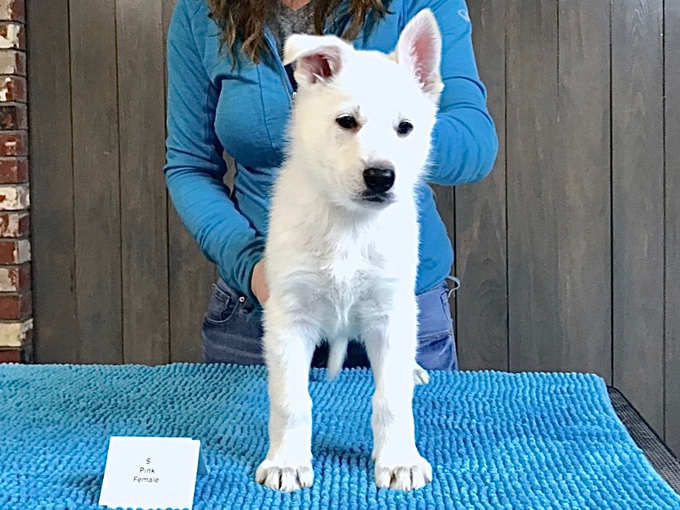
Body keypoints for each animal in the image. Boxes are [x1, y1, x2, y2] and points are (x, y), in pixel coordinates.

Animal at [258, 9, 444, 492]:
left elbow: (391, 400)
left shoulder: (391, 313)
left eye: (405, 128)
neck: (349, 225)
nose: (381, 176)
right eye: (346, 121)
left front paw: (399, 460)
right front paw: (287, 462)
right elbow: (291, 400)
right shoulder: (289, 316)